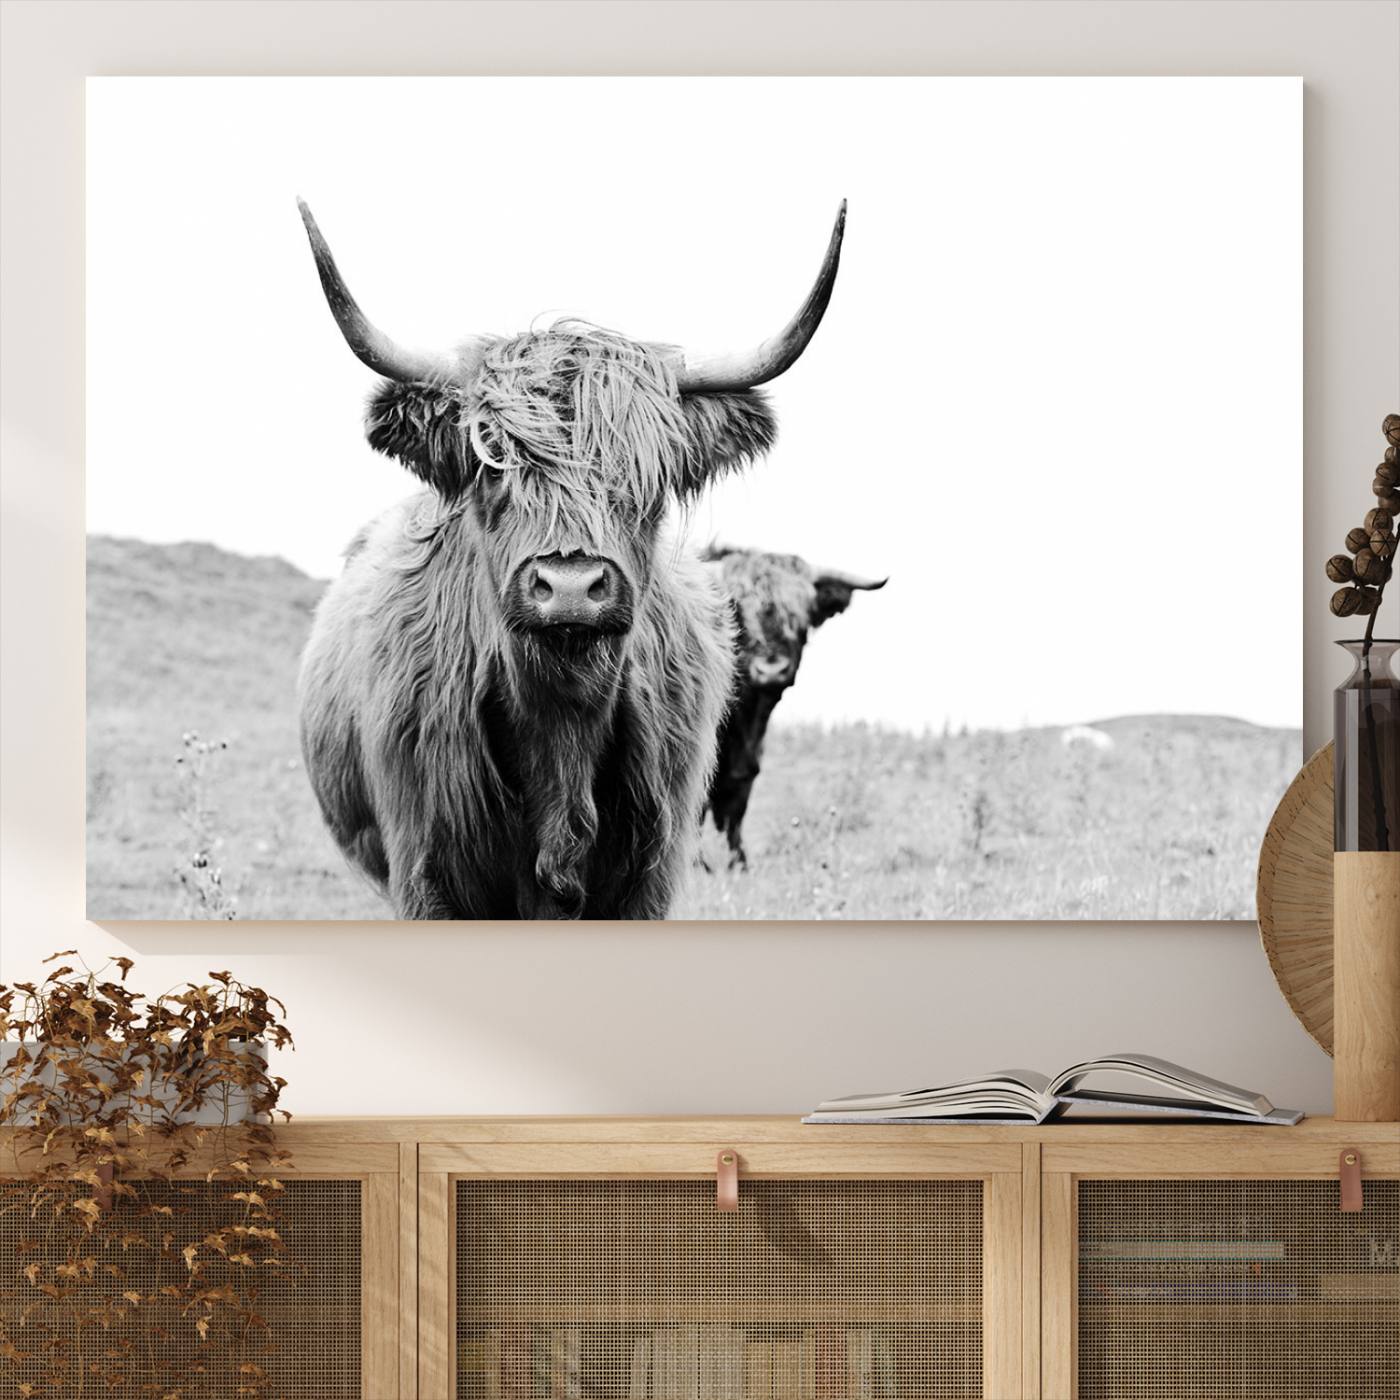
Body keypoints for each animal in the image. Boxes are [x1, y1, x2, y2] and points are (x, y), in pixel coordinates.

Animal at [295, 199, 846, 919]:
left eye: (649, 475)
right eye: (492, 463)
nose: (570, 586)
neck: (560, 728)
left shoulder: (649, 877)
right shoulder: (426, 874)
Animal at [701, 545, 886, 869]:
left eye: (800, 617)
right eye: (739, 613)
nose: (772, 670)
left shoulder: (745, 764)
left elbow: (735, 811)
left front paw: (738, 864)